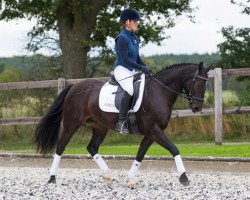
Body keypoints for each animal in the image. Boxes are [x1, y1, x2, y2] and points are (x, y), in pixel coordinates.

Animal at [34, 61, 212, 187]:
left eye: (206, 84)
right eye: (198, 83)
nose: (197, 108)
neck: (159, 92)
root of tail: (73, 87)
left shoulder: (151, 133)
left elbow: (140, 154)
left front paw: (131, 179)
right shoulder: (154, 130)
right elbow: (174, 149)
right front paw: (184, 177)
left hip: (99, 127)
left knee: (92, 147)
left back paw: (107, 175)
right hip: (72, 123)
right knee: (60, 147)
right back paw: (52, 178)